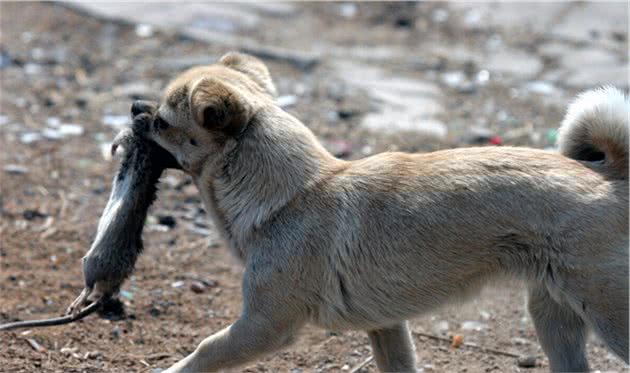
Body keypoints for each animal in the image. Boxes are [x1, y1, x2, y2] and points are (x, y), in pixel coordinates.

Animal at [95, 53, 630, 372]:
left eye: (163, 121)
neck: (292, 196)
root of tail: (613, 178)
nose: (135, 107)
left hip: (609, 316)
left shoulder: (262, 327)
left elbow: (203, 353)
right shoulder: (387, 327)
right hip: (554, 318)